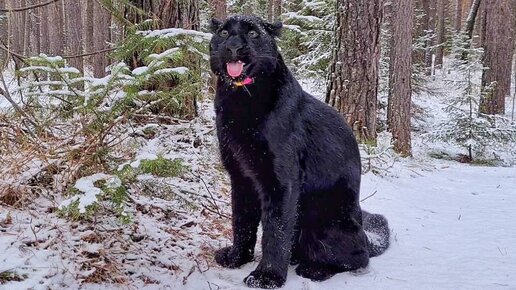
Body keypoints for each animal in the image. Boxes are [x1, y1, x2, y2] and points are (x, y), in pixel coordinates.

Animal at [208, 14, 390, 288]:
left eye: (253, 33)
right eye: (224, 32)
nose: (233, 48)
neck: (242, 99)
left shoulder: (281, 181)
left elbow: (276, 230)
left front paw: (267, 276)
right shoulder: (241, 176)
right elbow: (242, 221)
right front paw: (237, 257)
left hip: (324, 219)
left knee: (358, 257)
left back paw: (314, 270)